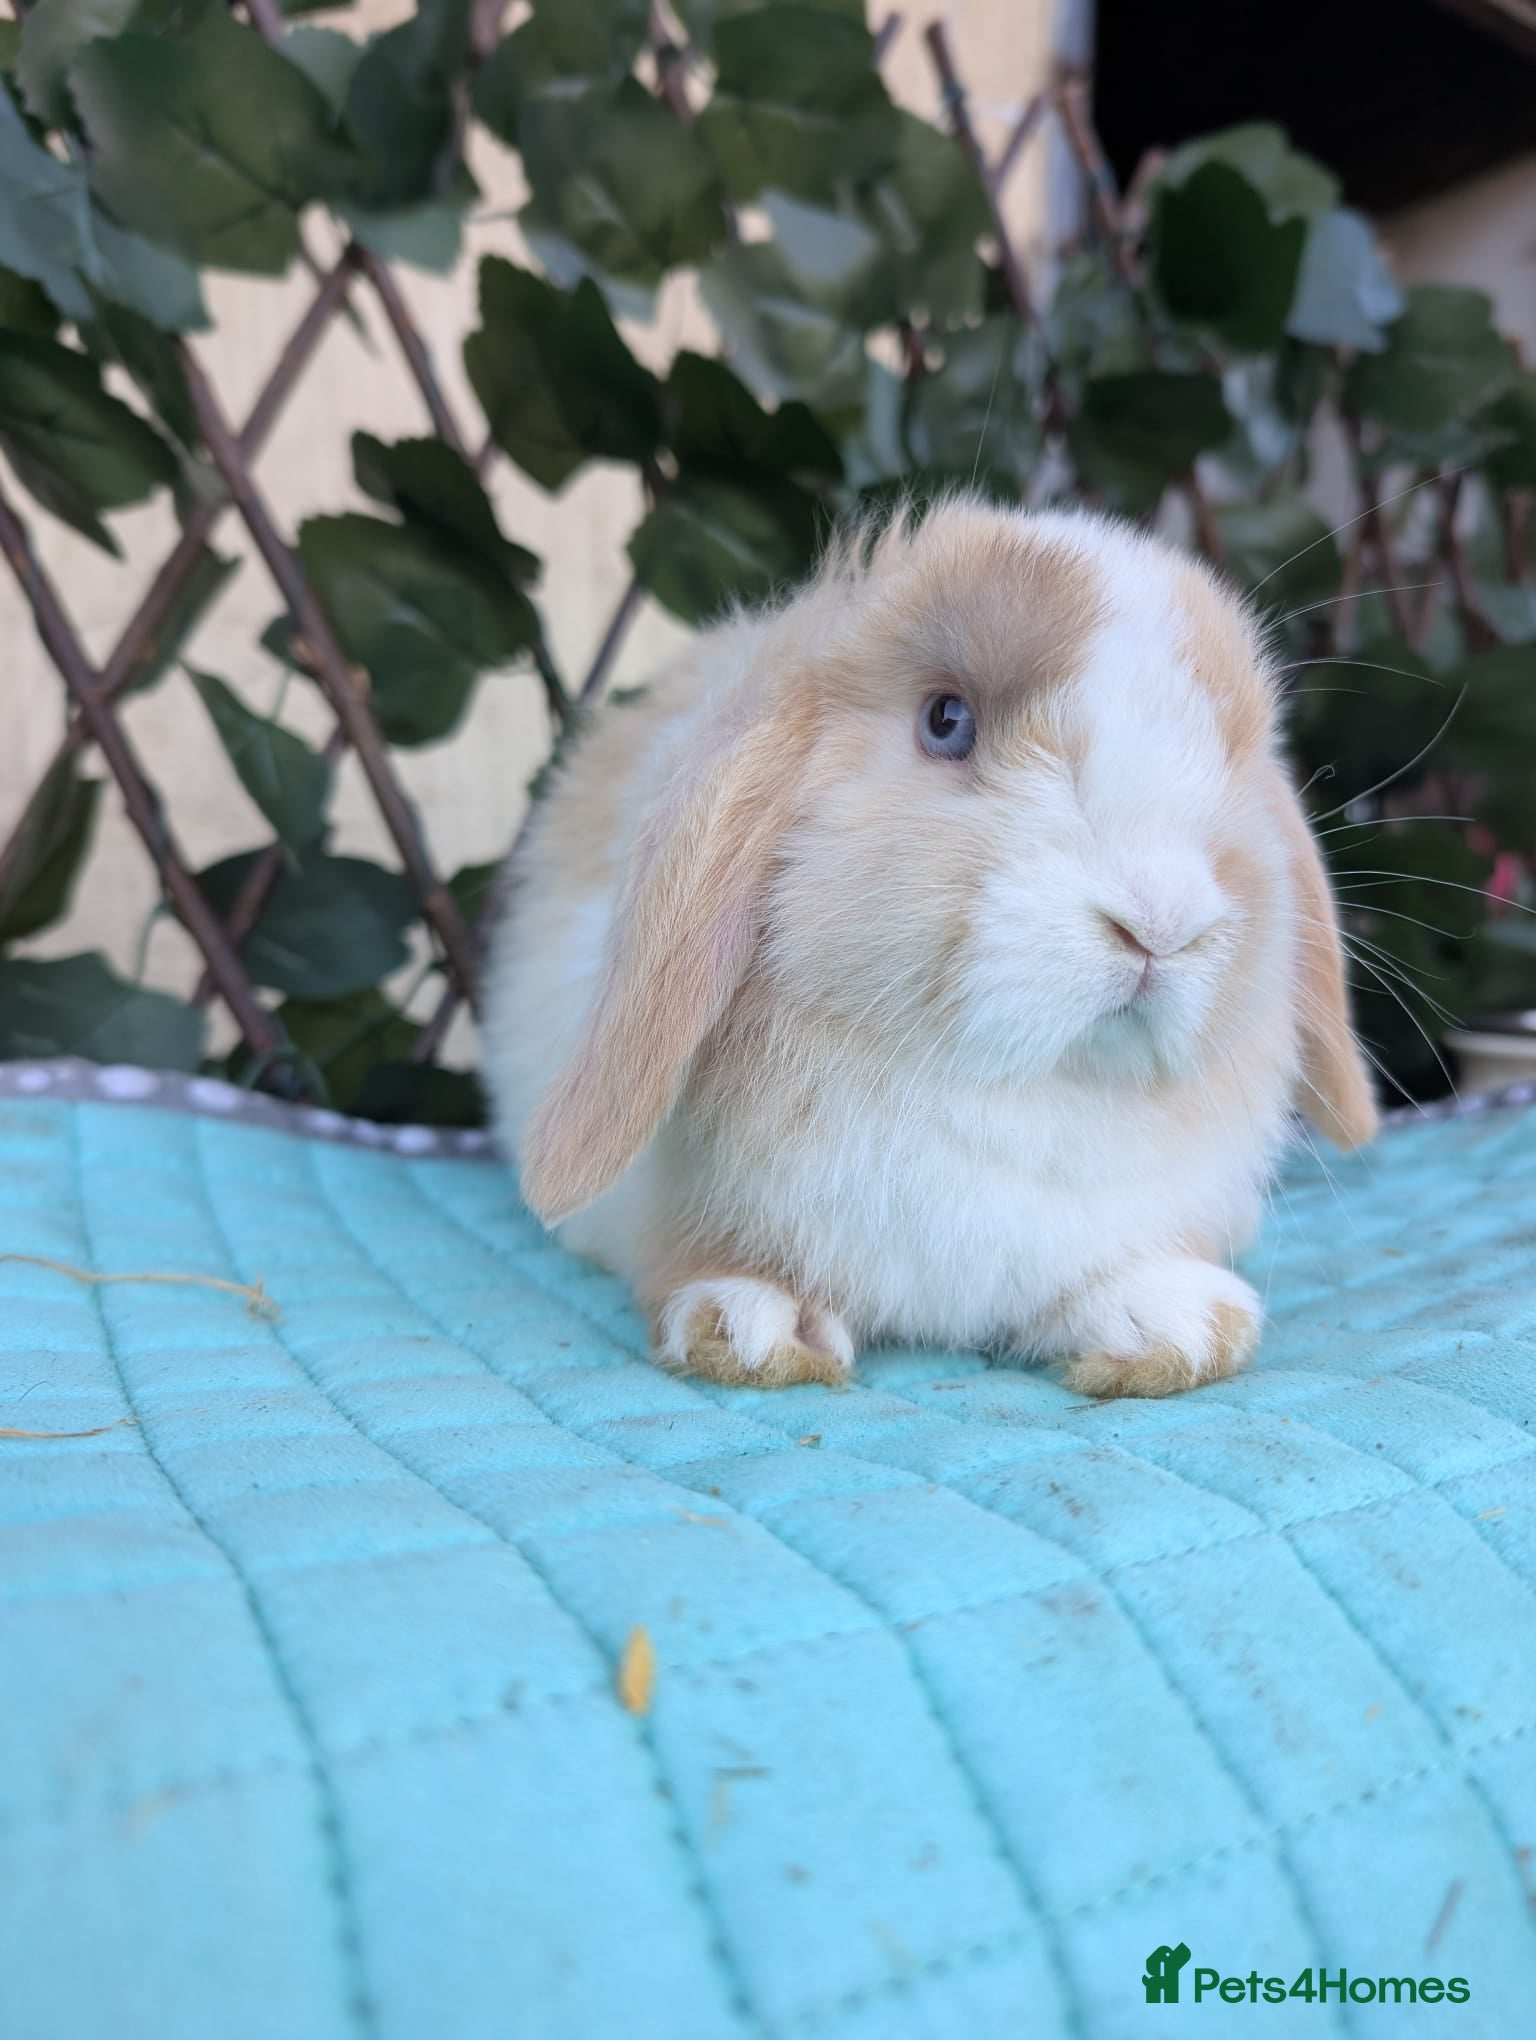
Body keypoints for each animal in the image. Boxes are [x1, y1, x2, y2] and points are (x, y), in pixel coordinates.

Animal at [480, 496, 1377, 1398]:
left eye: (1230, 750)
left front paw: (1175, 1328)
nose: (1160, 919)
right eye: (947, 722)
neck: (1013, 1092)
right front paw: (752, 1327)